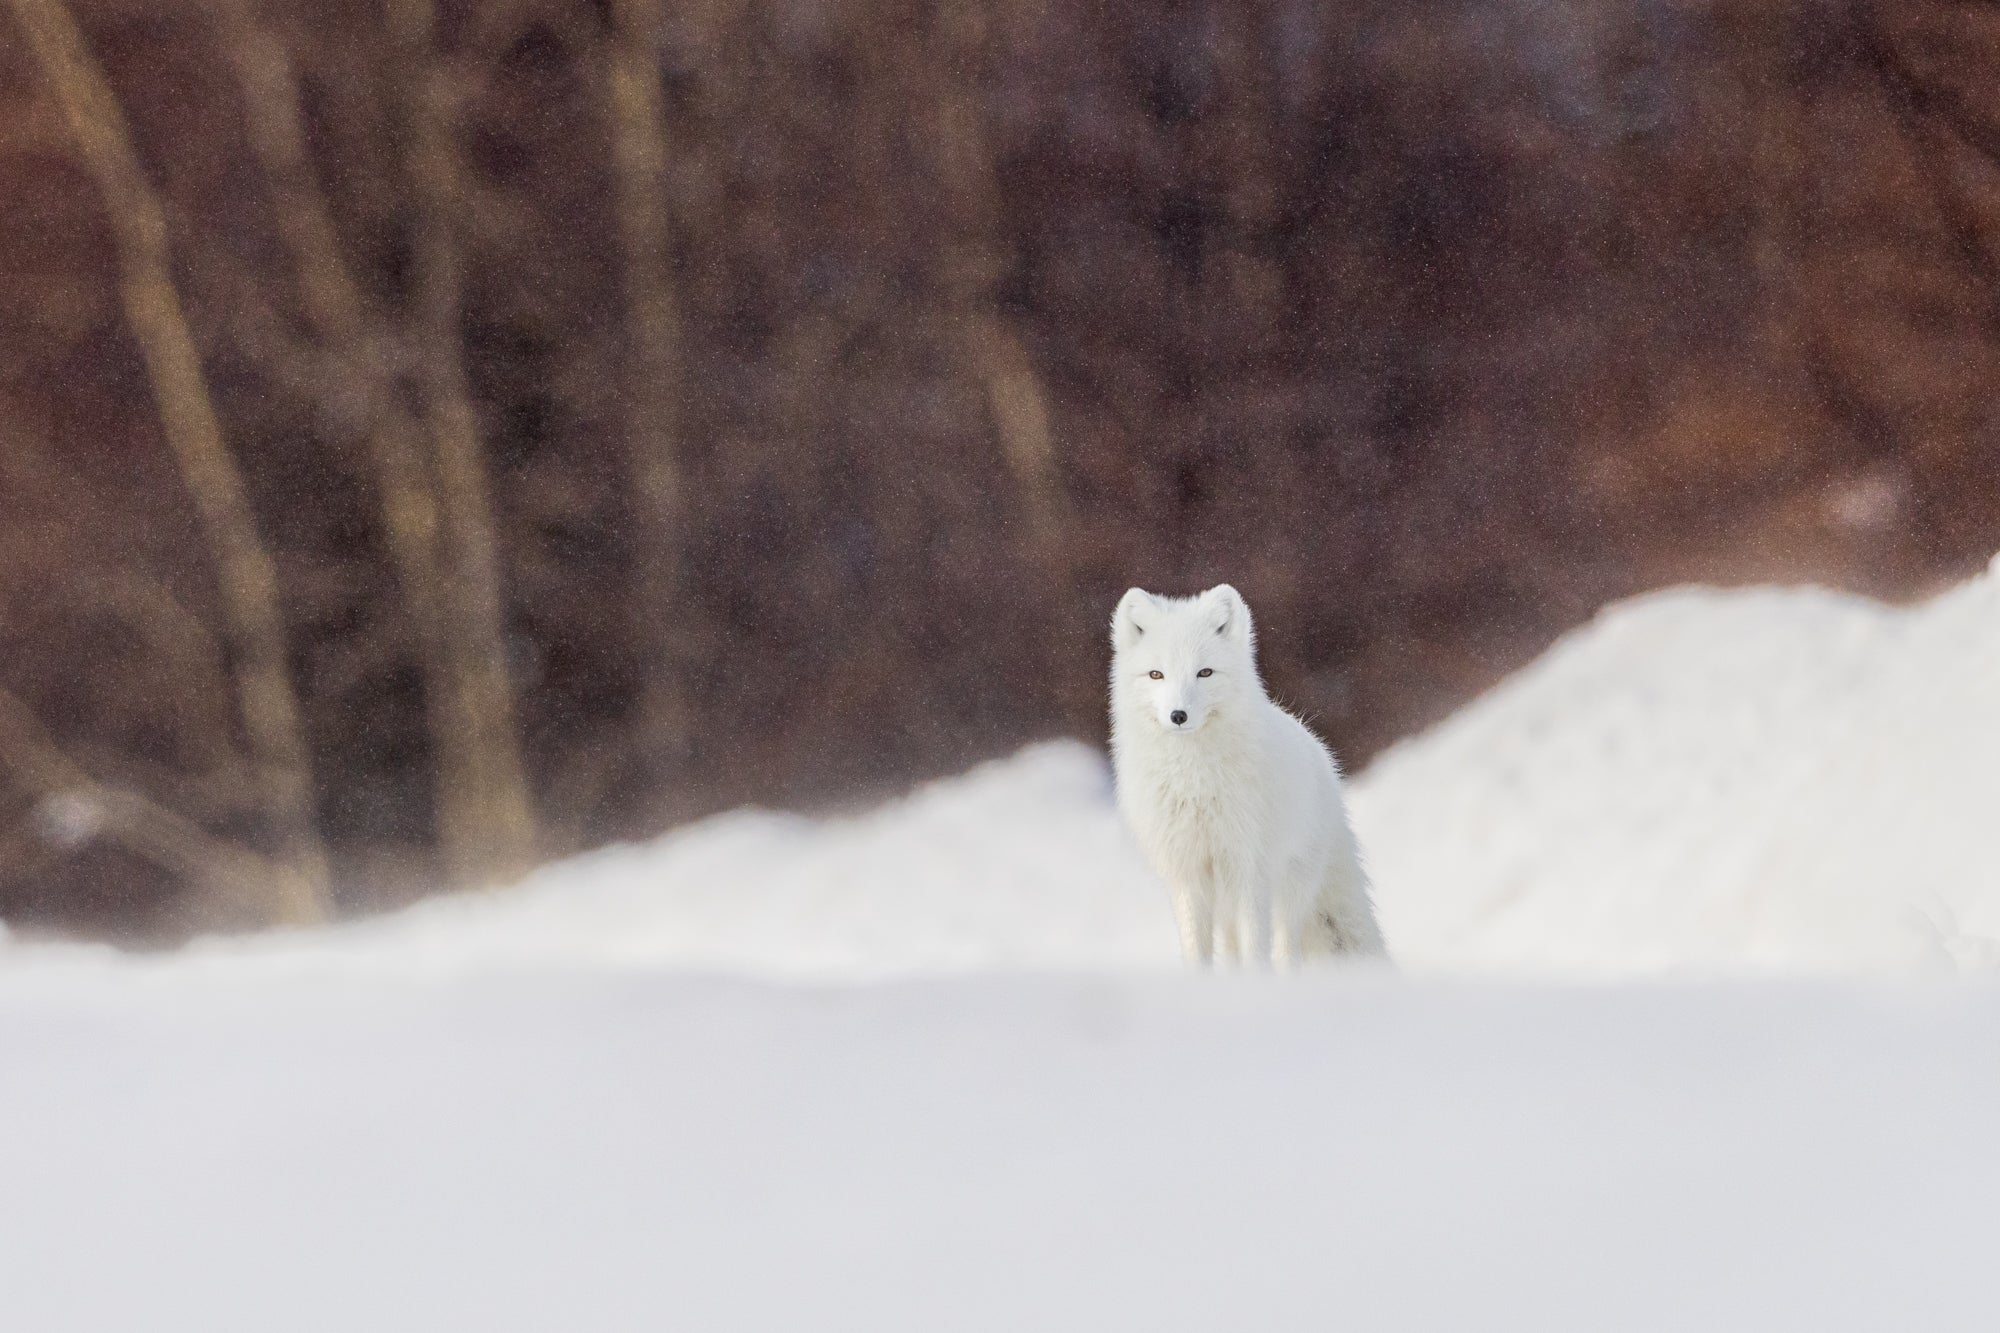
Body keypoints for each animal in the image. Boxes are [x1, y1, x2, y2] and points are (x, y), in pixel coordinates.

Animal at [1112, 588, 1392, 960]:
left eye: (1204, 673)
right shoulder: (1186, 873)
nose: (1178, 715)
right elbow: (1197, 953)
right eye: (1156, 675)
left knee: (1286, 951)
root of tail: (1321, 754)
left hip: (1290, 891)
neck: (1193, 782)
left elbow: (1256, 950)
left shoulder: (1247, 867)